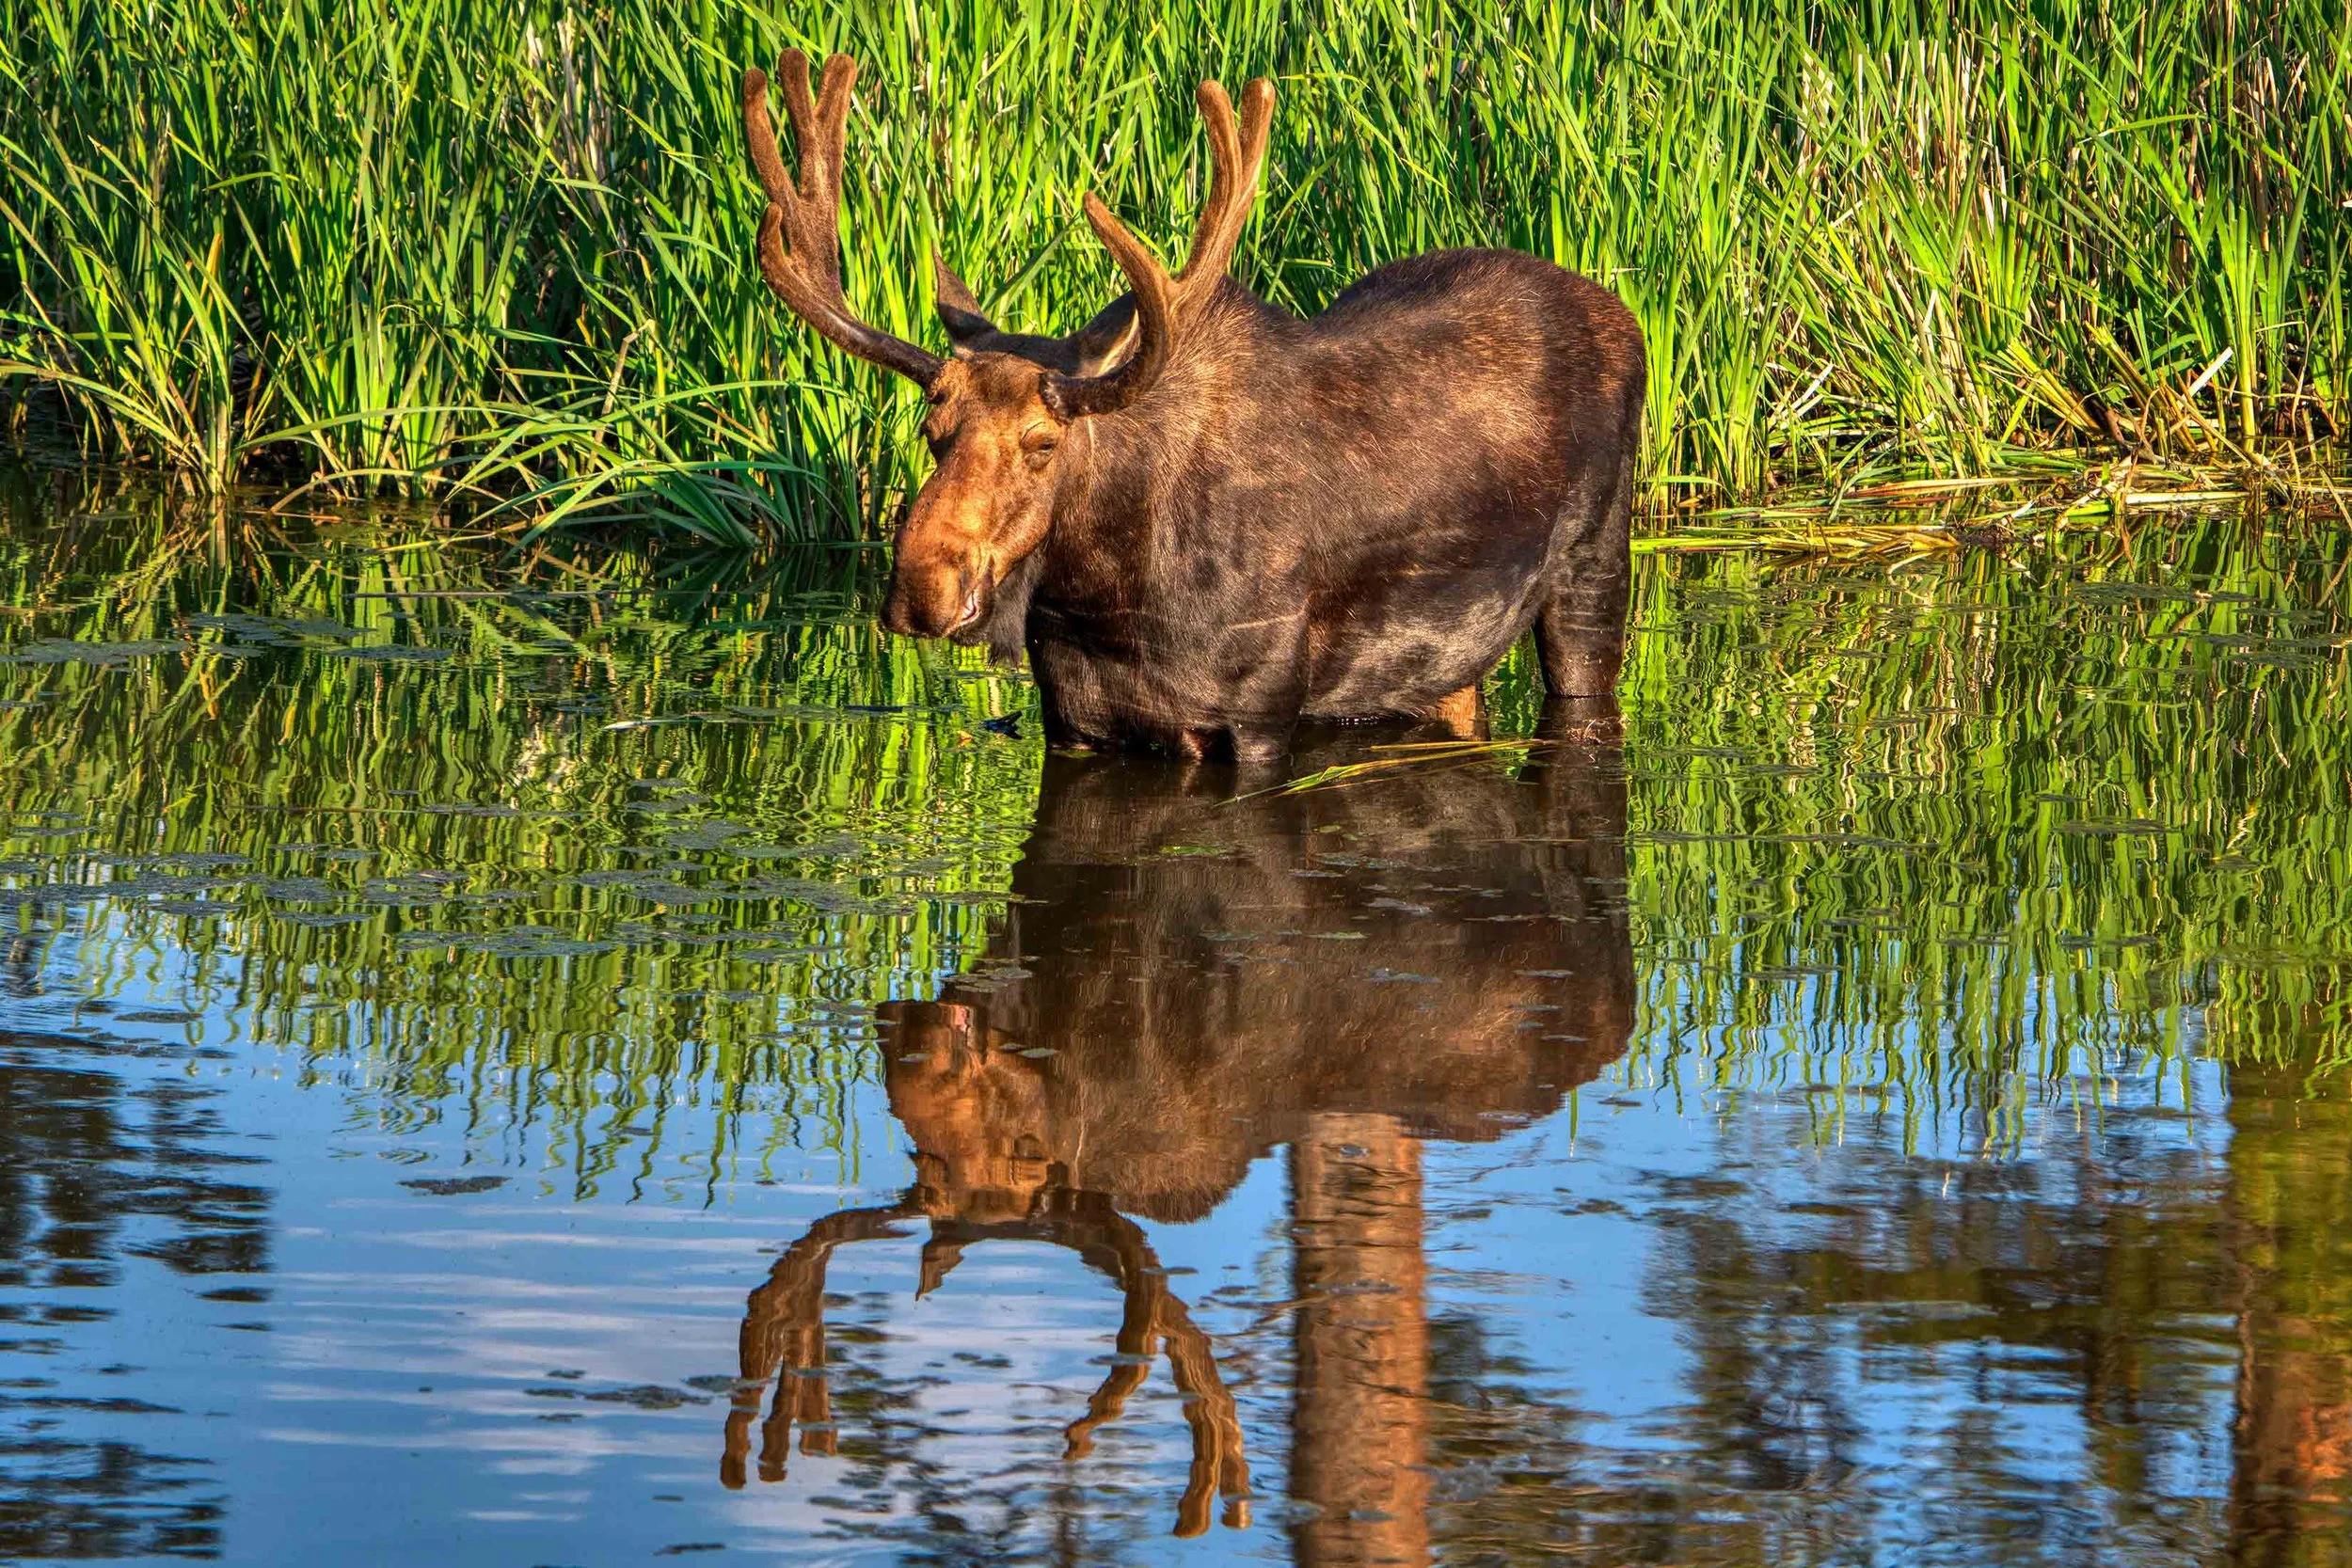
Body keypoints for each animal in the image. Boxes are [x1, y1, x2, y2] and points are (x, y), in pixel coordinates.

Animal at [741, 51, 1646, 762]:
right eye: (932, 432)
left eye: (1042, 442)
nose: (921, 590)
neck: (1103, 593)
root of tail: (1625, 317)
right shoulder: (1075, 720)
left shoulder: (1260, 712)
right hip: (1440, 663)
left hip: (1595, 571)